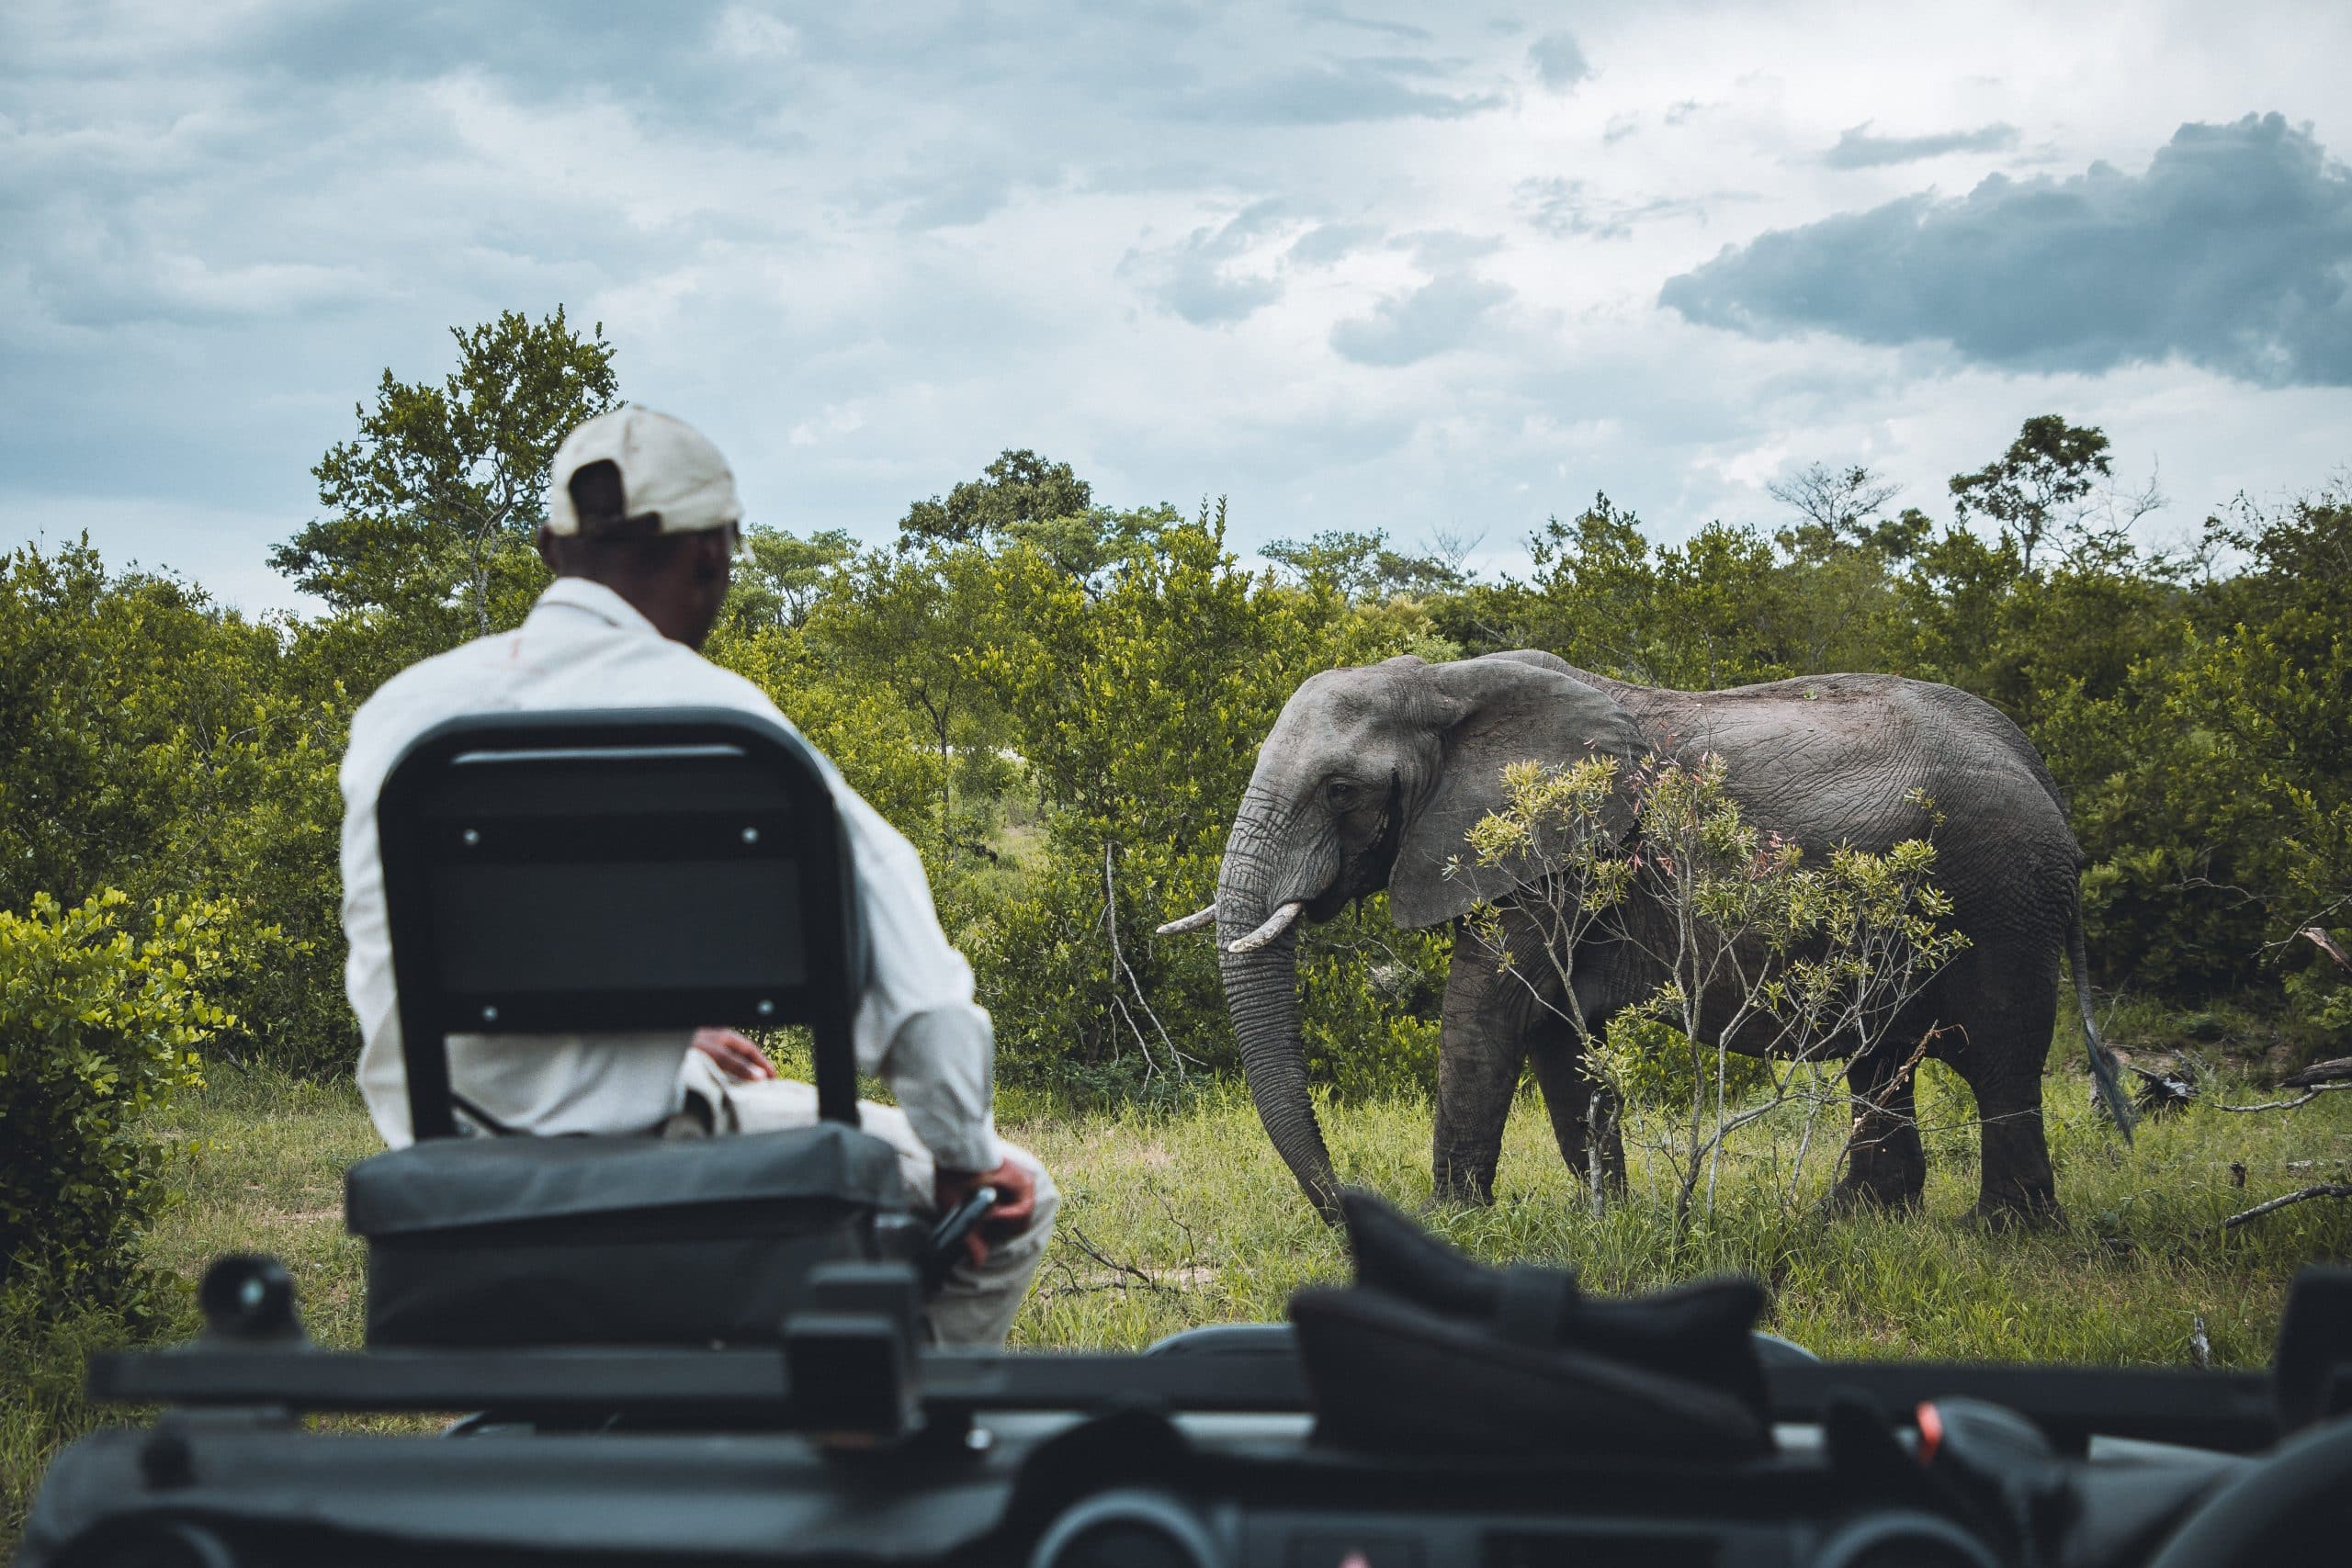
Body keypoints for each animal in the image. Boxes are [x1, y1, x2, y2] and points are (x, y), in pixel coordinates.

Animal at [1157, 649, 2135, 1222]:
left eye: (1338, 791)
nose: (1346, 1213)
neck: (1446, 679)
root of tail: (2041, 773)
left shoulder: (1561, 850)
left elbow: (1487, 1016)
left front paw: (1453, 1227)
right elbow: (1558, 1033)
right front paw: (1608, 1220)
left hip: (2003, 899)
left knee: (2002, 1059)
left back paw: (2001, 1232)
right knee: (1881, 1058)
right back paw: (1855, 1222)